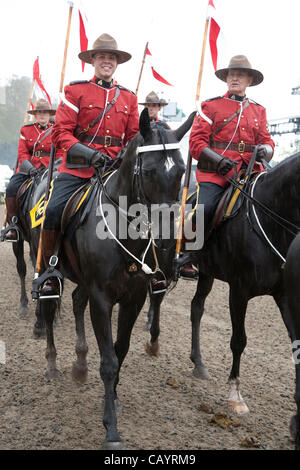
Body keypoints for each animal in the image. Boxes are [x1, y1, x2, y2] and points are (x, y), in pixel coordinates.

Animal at [28, 108, 195, 450]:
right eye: (149, 171)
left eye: (182, 171)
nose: (168, 241)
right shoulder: (102, 299)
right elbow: (108, 361)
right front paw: (112, 430)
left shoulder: (134, 299)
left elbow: (120, 351)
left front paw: (113, 400)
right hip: (53, 271)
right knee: (49, 312)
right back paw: (52, 364)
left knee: (76, 303)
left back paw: (80, 364)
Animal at [146, 151, 300, 448]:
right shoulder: (238, 291)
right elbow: (238, 341)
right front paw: (235, 396)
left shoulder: (285, 296)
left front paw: (297, 420)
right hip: (165, 263)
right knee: (157, 295)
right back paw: (153, 340)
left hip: (206, 273)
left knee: (196, 309)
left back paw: (198, 362)